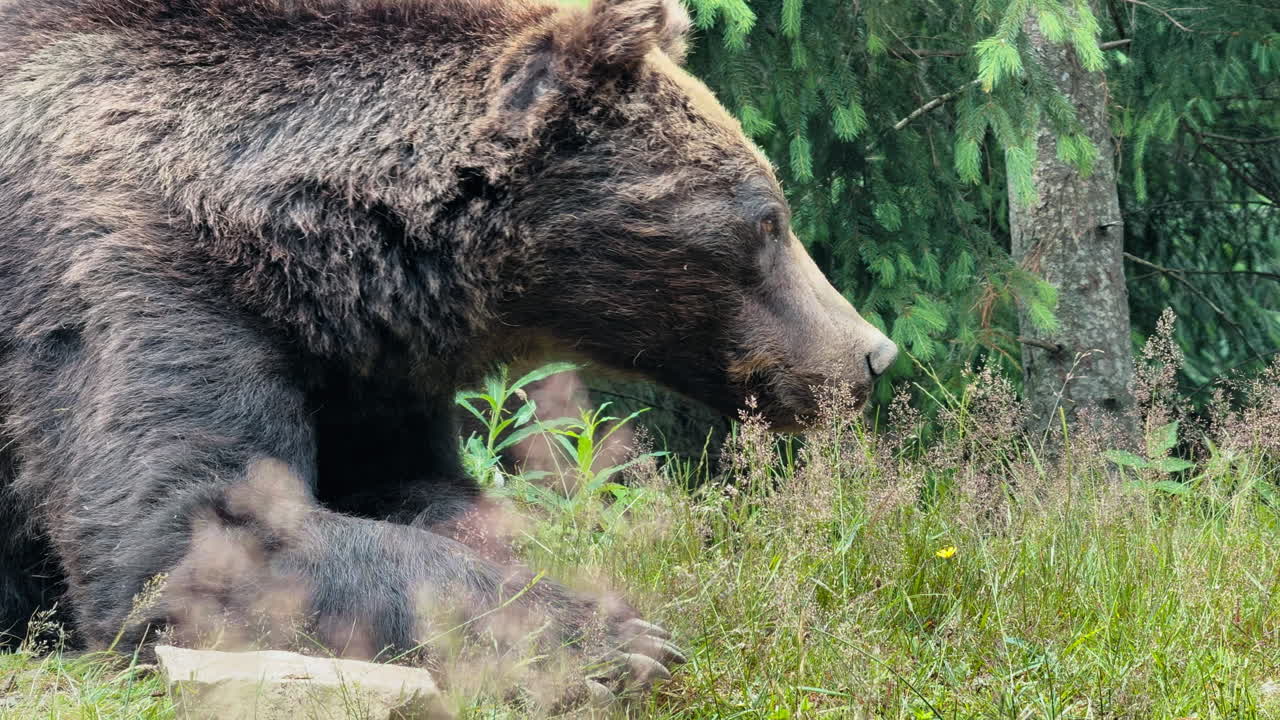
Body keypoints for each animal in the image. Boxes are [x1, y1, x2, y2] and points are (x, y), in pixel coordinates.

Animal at [0, 0, 897, 700]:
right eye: (767, 218)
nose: (871, 356)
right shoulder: (124, 267)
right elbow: (194, 534)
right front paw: (612, 640)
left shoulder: (362, 369)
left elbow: (423, 489)